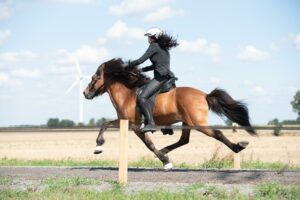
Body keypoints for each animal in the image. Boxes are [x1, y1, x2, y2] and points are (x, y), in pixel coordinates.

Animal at [84, 57, 255, 170]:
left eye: (94, 77)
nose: (85, 93)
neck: (127, 95)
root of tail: (205, 95)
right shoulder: (124, 121)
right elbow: (105, 124)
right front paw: (98, 146)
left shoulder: (135, 126)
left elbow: (149, 144)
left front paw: (166, 161)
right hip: (187, 122)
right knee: (184, 140)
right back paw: (165, 150)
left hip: (198, 123)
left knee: (217, 133)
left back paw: (237, 147)